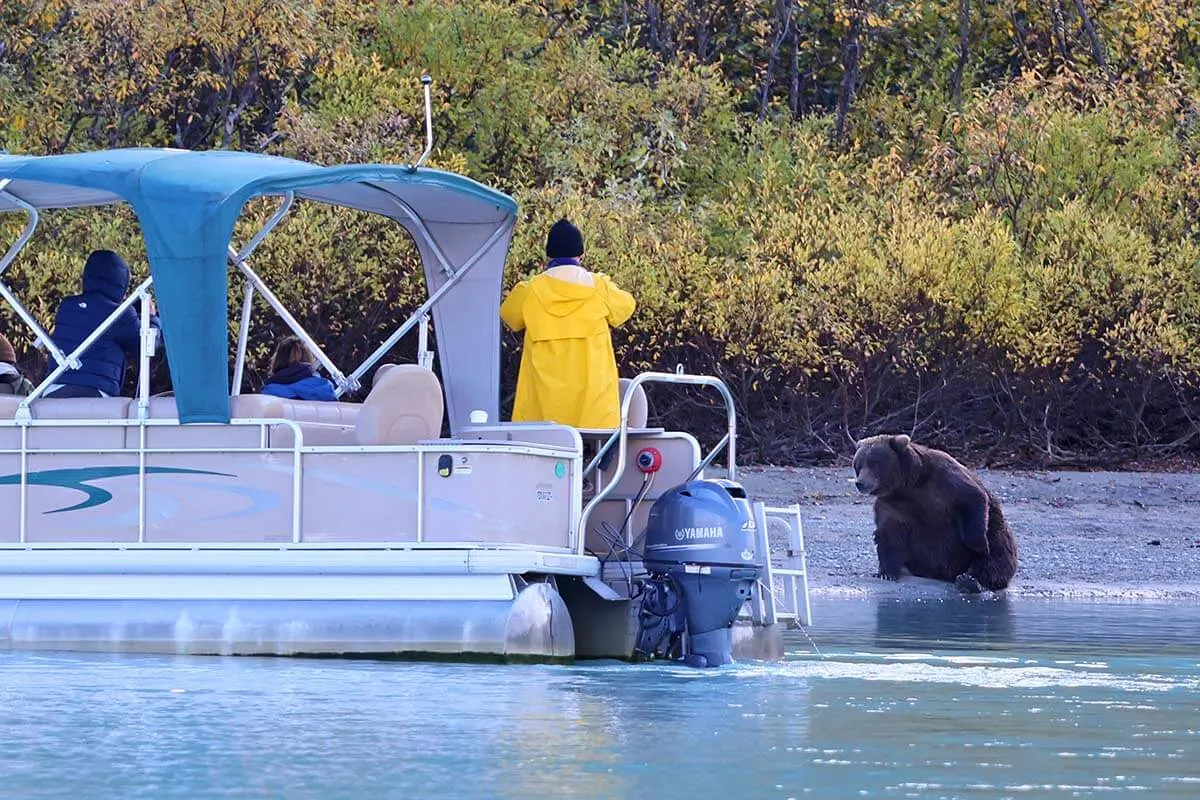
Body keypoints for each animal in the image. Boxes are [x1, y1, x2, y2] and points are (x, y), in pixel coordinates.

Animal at [849, 434, 1017, 592]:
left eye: (874, 463)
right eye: (858, 464)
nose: (860, 483)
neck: (908, 485)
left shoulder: (944, 479)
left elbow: (972, 497)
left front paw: (980, 545)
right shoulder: (893, 505)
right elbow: (888, 535)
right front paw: (885, 573)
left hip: (997, 533)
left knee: (995, 560)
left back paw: (969, 580)